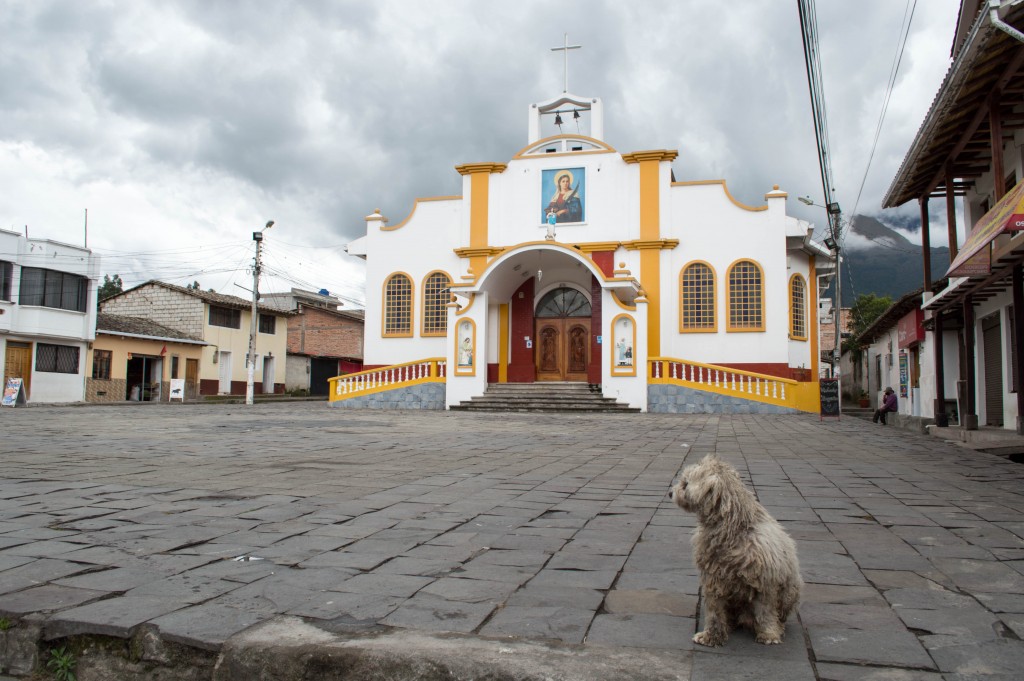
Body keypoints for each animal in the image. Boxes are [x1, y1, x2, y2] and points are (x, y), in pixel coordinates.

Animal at [667, 454, 802, 647]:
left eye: (685, 483)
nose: (670, 492)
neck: (732, 528)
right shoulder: (713, 578)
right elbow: (715, 611)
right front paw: (711, 635)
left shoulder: (765, 581)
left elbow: (766, 611)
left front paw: (769, 634)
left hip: (791, 591)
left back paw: (777, 626)